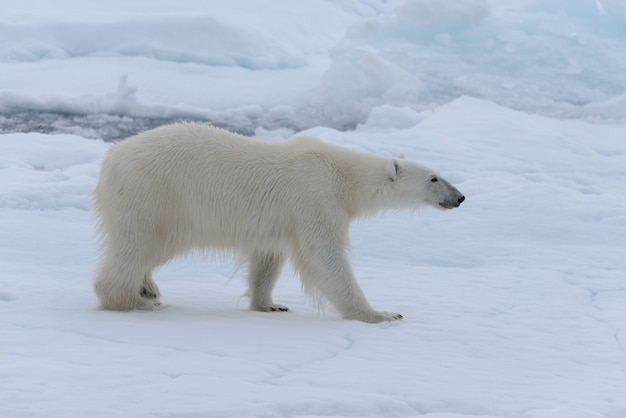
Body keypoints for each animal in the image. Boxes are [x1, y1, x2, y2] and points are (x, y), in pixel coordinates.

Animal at [92, 122, 464, 322]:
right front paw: (380, 314)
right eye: (434, 178)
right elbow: (324, 256)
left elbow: (267, 258)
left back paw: (147, 287)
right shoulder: (316, 198)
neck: (344, 176)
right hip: (154, 194)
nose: (460, 197)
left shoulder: (281, 218)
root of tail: (111, 158)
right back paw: (133, 300)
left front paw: (270, 305)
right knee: (137, 244)